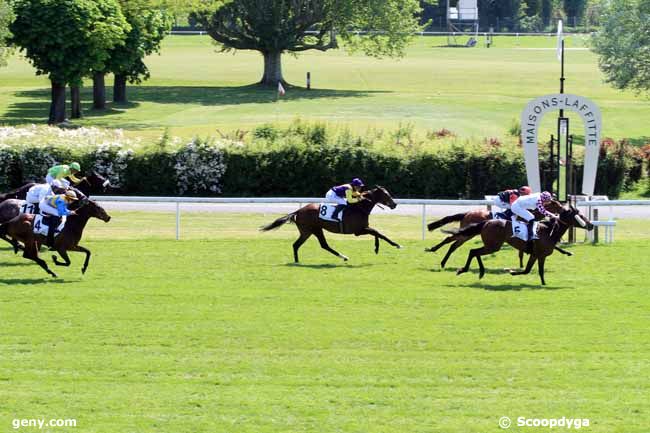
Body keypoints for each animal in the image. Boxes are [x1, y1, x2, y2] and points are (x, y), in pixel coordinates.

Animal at [258, 185, 400, 262]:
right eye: (386, 194)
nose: (394, 204)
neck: (359, 207)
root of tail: (299, 210)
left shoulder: (363, 228)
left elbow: (377, 233)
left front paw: (377, 248)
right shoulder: (358, 231)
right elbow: (378, 233)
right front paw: (395, 245)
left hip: (309, 231)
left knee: (298, 245)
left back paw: (297, 261)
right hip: (312, 230)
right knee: (320, 245)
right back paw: (343, 257)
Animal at [426, 202, 572, 268]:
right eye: (555, 203)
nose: (563, 208)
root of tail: (467, 213)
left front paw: (566, 252)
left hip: (467, 234)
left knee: (453, 245)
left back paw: (442, 261)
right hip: (467, 234)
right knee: (449, 239)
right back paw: (433, 250)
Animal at [446, 205, 592, 286]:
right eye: (580, 215)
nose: (591, 225)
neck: (550, 231)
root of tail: (487, 222)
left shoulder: (537, 255)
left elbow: (532, 270)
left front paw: (543, 283)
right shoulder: (539, 255)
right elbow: (530, 270)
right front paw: (511, 271)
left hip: (492, 245)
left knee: (474, 252)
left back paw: (478, 272)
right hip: (493, 246)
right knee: (473, 251)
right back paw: (466, 270)